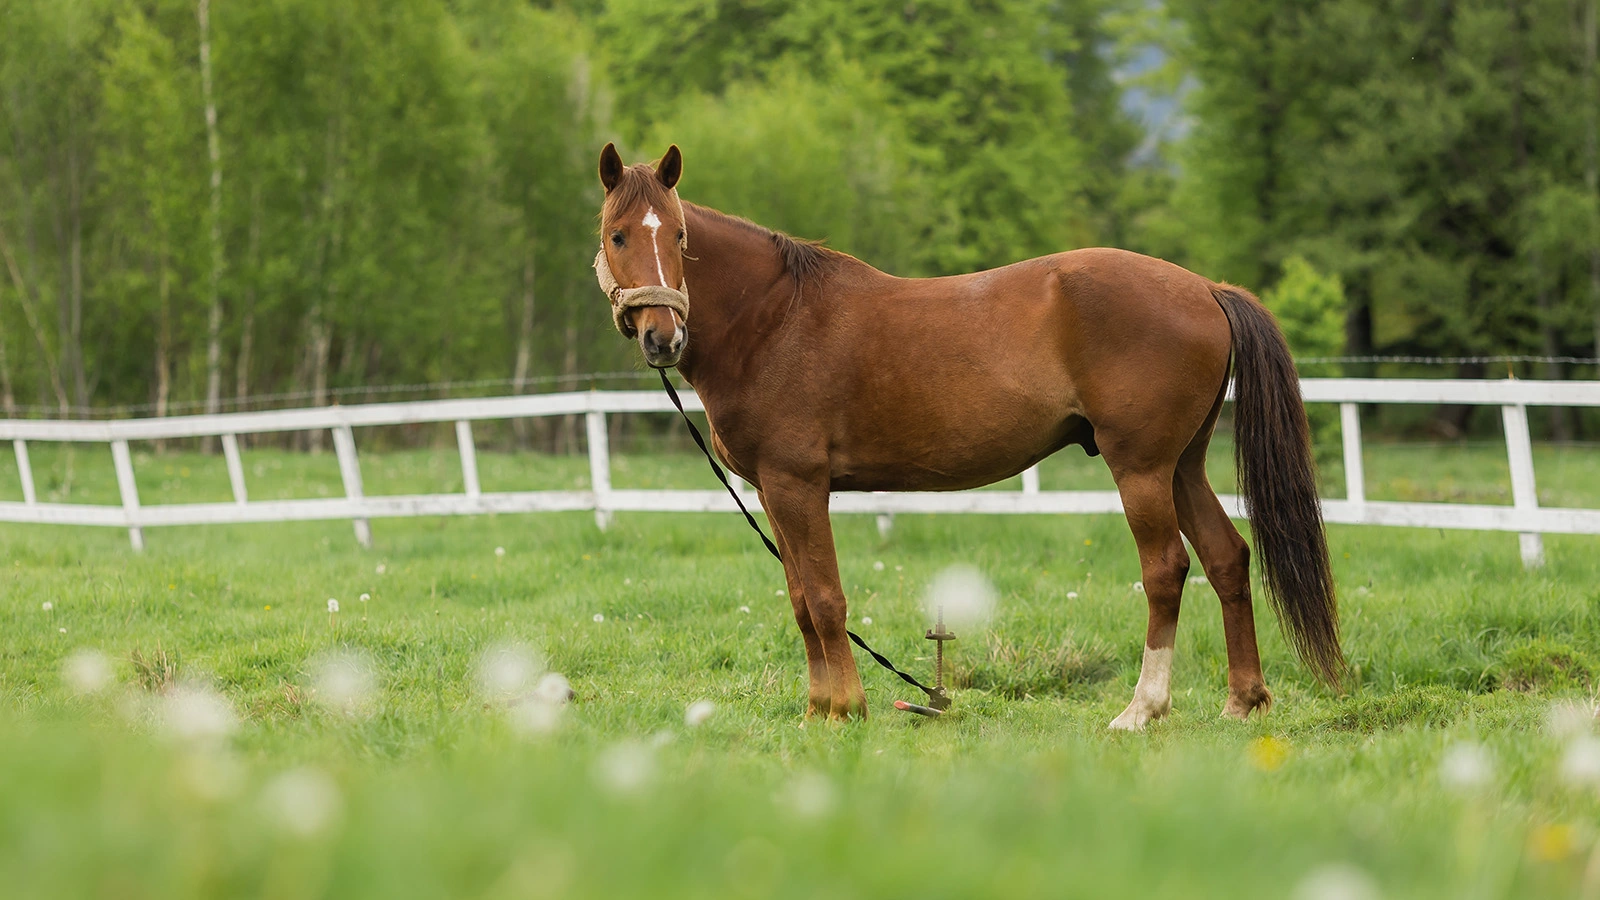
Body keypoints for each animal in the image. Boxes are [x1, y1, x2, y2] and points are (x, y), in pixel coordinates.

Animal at [595, 143, 1344, 723]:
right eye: (618, 235)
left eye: (679, 237)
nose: (663, 336)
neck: (774, 320)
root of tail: (1206, 289)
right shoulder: (773, 492)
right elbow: (802, 601)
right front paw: (817, 710)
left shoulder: (797, 485)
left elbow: (827, 599)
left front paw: (847, 709)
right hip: (1182, 465)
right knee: (1226, 558)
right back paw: (1242, 701)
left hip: (1141, 469)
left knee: (1167, 570)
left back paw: (1142, 709)